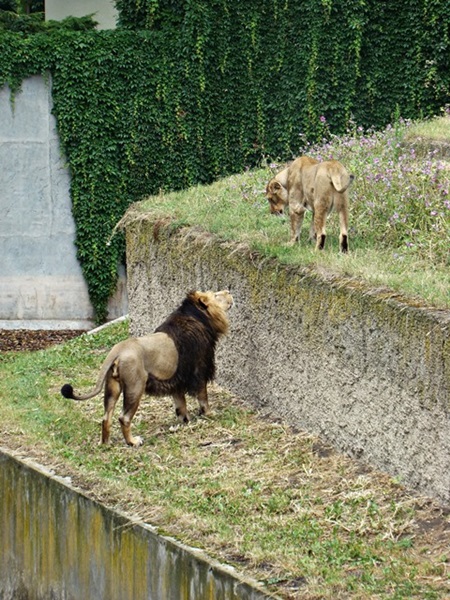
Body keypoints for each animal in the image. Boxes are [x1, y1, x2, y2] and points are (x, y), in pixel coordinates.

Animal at [60, 290, 232, 446]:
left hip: (112, 388)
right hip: (135, 387)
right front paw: (210, 414)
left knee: (106, 417)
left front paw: (185, 420)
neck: (199, 317)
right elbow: (203, 397)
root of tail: (119, 349)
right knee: (124, 418)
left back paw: (105, 444)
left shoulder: (176, 379)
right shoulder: (199, 369)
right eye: (216, 295)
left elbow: (180, 403)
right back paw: (133, 442)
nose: (229, 291)